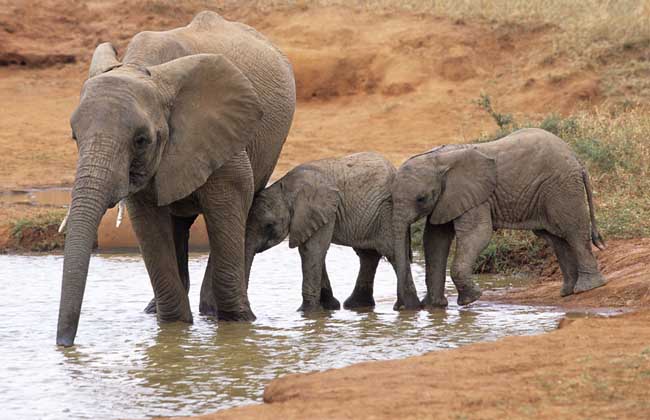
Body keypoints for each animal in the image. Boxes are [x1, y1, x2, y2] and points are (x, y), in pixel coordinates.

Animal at [57, 12, 294, 348]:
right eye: (75, 137)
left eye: (141, 140)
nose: (64, 344)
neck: (145, 69)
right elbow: (148, 224)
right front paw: (174, 327)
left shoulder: (222, 133)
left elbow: (230, 201)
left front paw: (237, 325)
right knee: (178, 224)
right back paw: (154, 310)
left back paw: (211, 310)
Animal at [244, 153, 416, 310]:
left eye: (269, 226)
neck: (284, 186)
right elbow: (310, 251)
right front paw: (328, 307)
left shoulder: (322, 211)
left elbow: (312, 251)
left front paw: (307, 312)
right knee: (368, 255)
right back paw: (357, 305)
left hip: (387, 212)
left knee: (392, 253)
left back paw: (407, 307)